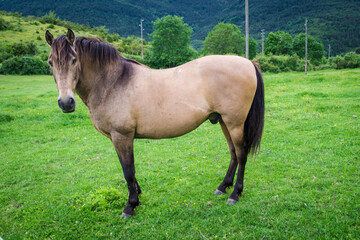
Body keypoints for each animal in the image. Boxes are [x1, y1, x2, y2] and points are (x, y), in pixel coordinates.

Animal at [45, 28, 264, 218]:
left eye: (74, 60)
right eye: (50, 62)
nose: (66, 103)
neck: (113, 82)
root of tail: (248, 63)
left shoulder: (122, 135)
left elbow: (128, 170)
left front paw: (130, 205)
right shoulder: (118, 138)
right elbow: (128, 169)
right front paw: (137, 195)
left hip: (235, 123)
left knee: (241, 154)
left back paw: (235, 194)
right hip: (224, 121)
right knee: (233, 153)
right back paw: (223, 187)